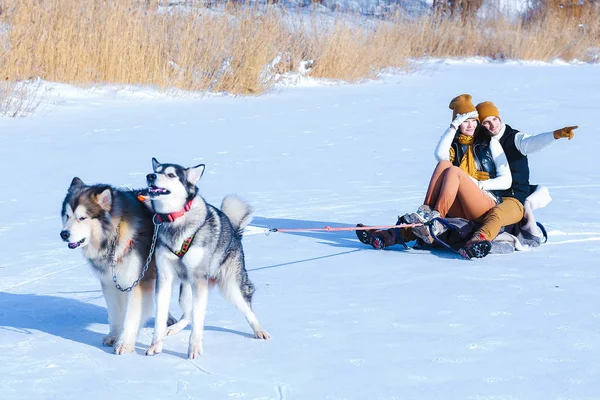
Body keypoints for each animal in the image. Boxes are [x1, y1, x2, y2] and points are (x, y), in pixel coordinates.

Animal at [145, 158, 270, 358]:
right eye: (157, 171)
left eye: (171, 174)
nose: (150, 176)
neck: (176, 219)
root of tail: (235, 233)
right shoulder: (164, 278)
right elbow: (161, 317)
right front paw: (156, 344)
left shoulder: (198, 280)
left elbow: (198, 320)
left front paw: (194, 348)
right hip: (186, 291)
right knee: (187, 315)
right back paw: (172, 329)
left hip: (230, 286)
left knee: (247, 308)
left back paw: (259, 330)